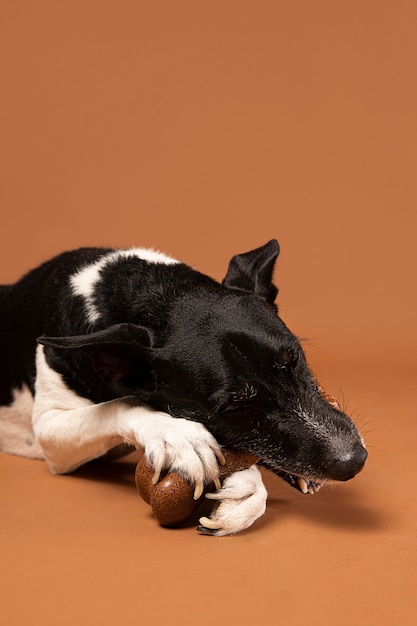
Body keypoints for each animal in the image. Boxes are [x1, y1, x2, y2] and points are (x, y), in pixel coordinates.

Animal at [0, 239, 366, 532]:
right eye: (234, 407)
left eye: (294, 360)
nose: (354, 460)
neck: (149, 293)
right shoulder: (50, 431)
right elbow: (120, 405)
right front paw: (177, 436)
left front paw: (245, 490)